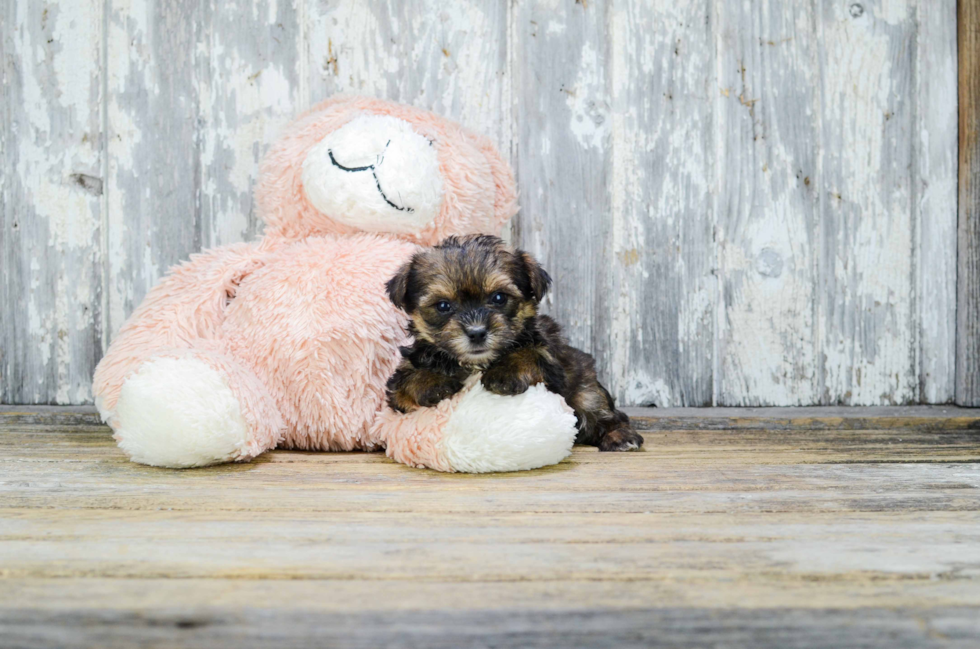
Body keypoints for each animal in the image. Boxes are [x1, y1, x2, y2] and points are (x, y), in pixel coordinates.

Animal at [382, 233, 644, 450]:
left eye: (499, 298)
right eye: (443, 306)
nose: (476, 332)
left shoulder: (551, 359)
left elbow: (530, 354)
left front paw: (505, 373)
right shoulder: (401, 381)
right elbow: (406, 381)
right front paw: (432, 381)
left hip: (585, 387)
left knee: (600, 409)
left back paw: (621, 436)